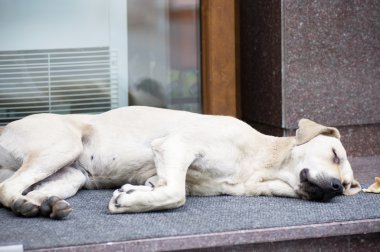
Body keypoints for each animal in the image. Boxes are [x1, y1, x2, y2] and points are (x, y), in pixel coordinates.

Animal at [0, 106, 362, 219]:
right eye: (335, 154)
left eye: (346, 187)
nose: (333, 187)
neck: (258, 164)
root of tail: (5, 127)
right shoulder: (175, 146)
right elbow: (176, 194)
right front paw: (127, 202)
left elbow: (164, 188)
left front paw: (137, 194)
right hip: (62, 145)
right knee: (7, 188)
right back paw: (26, 205)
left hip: (71, 175)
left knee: (30, 190)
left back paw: (44, 205)